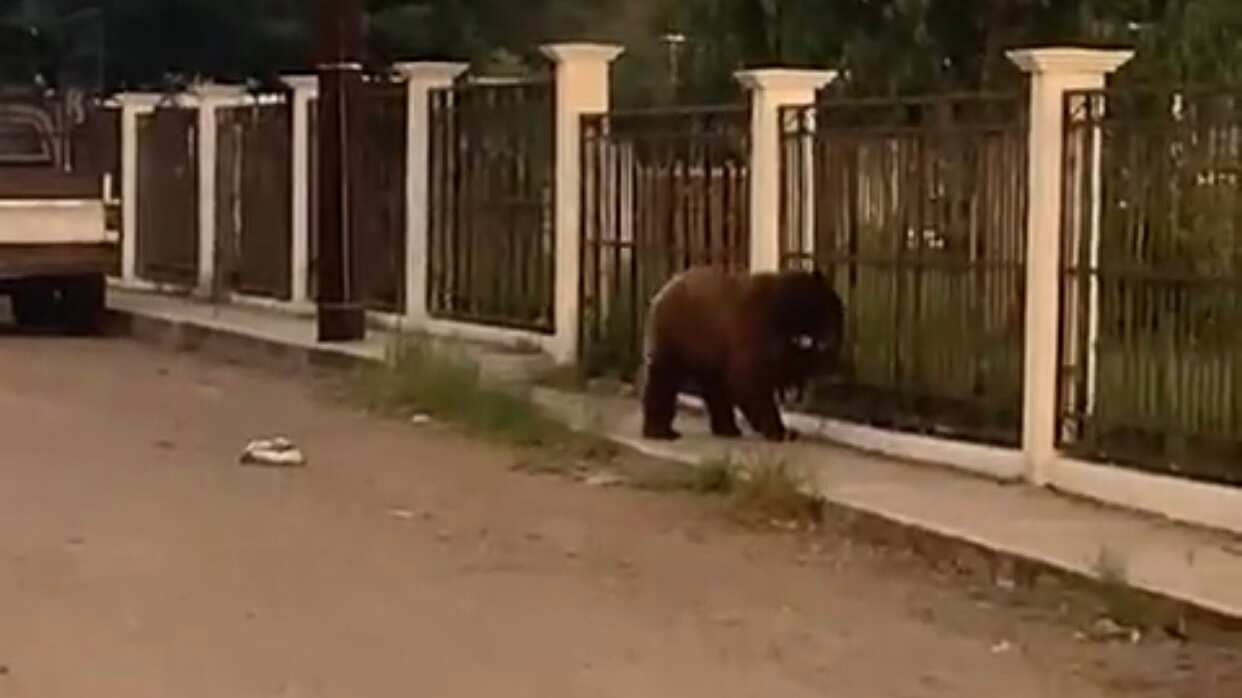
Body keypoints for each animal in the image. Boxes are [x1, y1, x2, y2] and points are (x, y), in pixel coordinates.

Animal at [637, 265, 845, 442]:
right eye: (831, 314)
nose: (832, 344)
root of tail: (662, 292)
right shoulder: (755, 330)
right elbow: (750, 381)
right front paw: (780, 431)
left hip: (709, 348)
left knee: (715, 388)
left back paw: (727, 428)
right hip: (677, 335)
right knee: (664, 378)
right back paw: (660, 430)